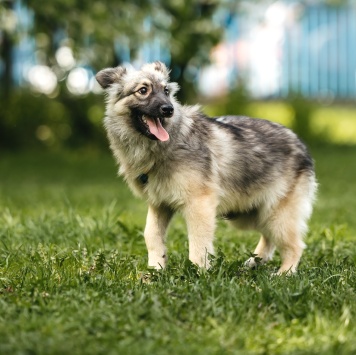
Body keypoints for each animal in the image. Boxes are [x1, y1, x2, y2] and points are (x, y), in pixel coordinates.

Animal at [95, 61, 318, 274]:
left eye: (166, 91)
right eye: (143, 90)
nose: (169, 109)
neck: (165, 146)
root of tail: (300, 144)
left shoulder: (199, 204)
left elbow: (198, 241)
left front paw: (198, 272)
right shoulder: (160, 204)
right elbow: (151, 234)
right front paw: (155, 269)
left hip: (277, 215)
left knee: (294, 246)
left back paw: (284, 273)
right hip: (252, 214)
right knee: (269, 238)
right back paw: (254, 263)